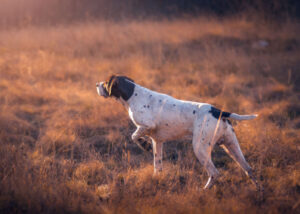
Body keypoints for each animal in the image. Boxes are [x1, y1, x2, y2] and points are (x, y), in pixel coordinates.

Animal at [96, 75, 260, 189]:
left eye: (105, 82)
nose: (97, 84)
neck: (133, 94)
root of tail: (218, 111)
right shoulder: (158, 141)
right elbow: (157, 164)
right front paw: (156, 178)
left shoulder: (146, 125)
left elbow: (134, 136)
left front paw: (144, 144)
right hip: (231, 146)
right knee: (249, 170)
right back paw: (259, 192)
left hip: (200, 148)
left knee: (215, 173)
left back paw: (203, 190)